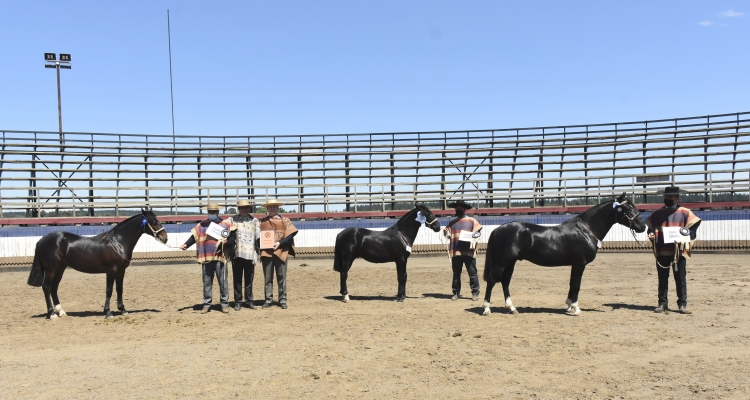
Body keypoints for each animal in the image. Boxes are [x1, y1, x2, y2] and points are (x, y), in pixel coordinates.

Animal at [27, 209, 169, 318]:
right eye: (154, 222)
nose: (165, 238)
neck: (118, 242)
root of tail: (41, 240)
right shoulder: (111, 270)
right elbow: (109, 290)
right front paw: (108, 312)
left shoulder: (121, 270)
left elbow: (119, 289)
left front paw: (123, 310)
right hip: (51, 269)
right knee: (46, 287)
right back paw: (52, 314)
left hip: (60, 269)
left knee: (54, 288)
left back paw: (61, 312)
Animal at [484, 193, 648, 316]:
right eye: (626, 208)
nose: (643, 227)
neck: (586, 230)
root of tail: (497, 229)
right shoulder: (580, 263)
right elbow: (576, 284)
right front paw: (576, 309)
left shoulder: (575, 264)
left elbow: (572, 283)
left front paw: (569, 306)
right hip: (502, 262)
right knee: (492, 281)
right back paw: (487, 309)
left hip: (510, 263)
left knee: (505, 282)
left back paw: (512, 308)